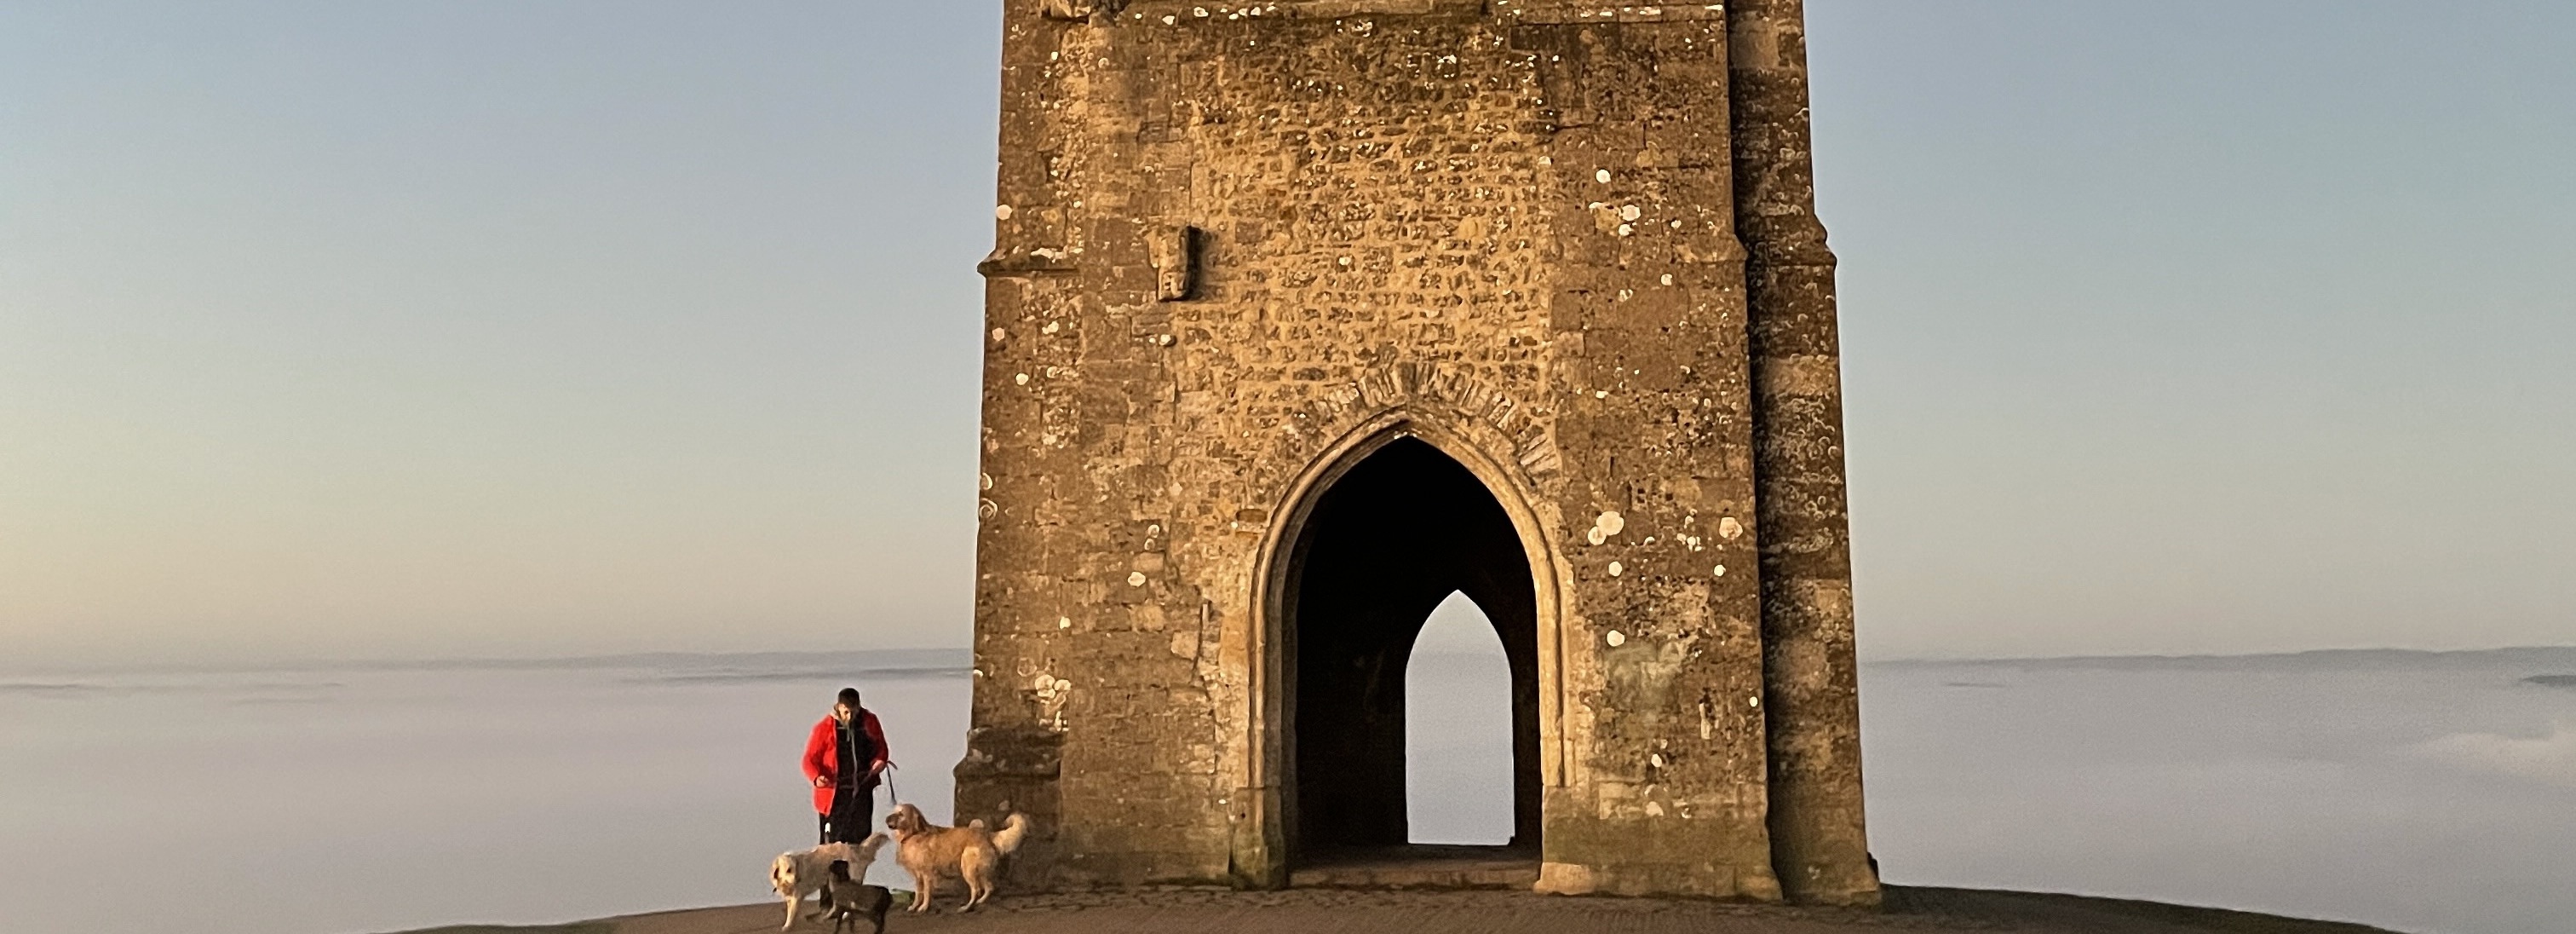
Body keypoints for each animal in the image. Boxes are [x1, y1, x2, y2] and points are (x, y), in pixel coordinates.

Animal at [768, 835, 891, 928]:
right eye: (788, 870)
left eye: (795, 868)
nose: (798, 879)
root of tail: (857, 849)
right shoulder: (790, 897)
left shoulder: (796, 897)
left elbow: (791, 914)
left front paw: (787, 926)